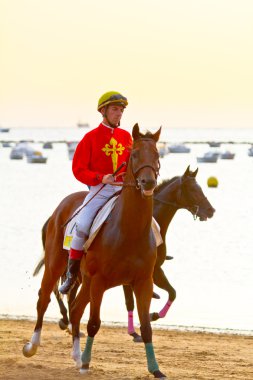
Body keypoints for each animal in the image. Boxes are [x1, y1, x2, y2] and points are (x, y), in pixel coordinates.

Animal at [23, 124, 166, 378]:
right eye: (134, 154)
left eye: (157, 154)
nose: (148, 182)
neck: (129, 230)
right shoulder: (99, 281)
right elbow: (93, 323)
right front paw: (87, 363)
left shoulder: (143, 282)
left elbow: (146, 327)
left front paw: (155, 369)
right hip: (56, 266)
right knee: (44, 299)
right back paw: (33, 346)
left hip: (85, 280)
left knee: (75, 309)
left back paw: (77, 356)